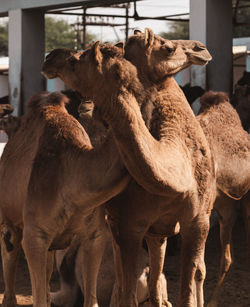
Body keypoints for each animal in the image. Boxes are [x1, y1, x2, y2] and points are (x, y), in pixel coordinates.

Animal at [43, 29, 215, 307]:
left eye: (76, 60)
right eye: (168, 47)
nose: (200, 48)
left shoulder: (198, 219)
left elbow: (189, 286)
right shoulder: (129, 222)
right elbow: (127, 289)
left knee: (173, 260)